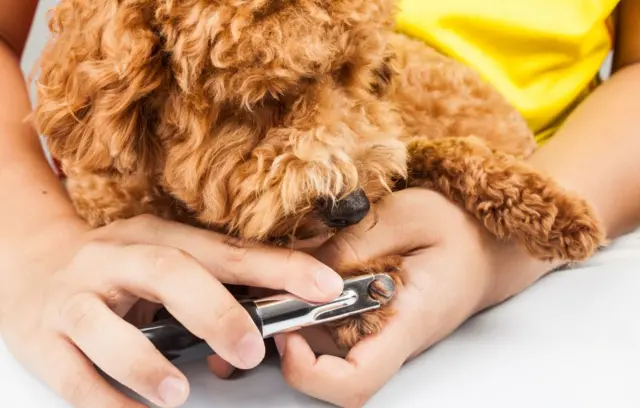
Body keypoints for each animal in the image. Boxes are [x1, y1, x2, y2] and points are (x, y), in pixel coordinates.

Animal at [31, 0, 604, 350]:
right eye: (260, 99)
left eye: (355, 75)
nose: (353, 208)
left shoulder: (391, 138)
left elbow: (435, 152)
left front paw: (557, 212)